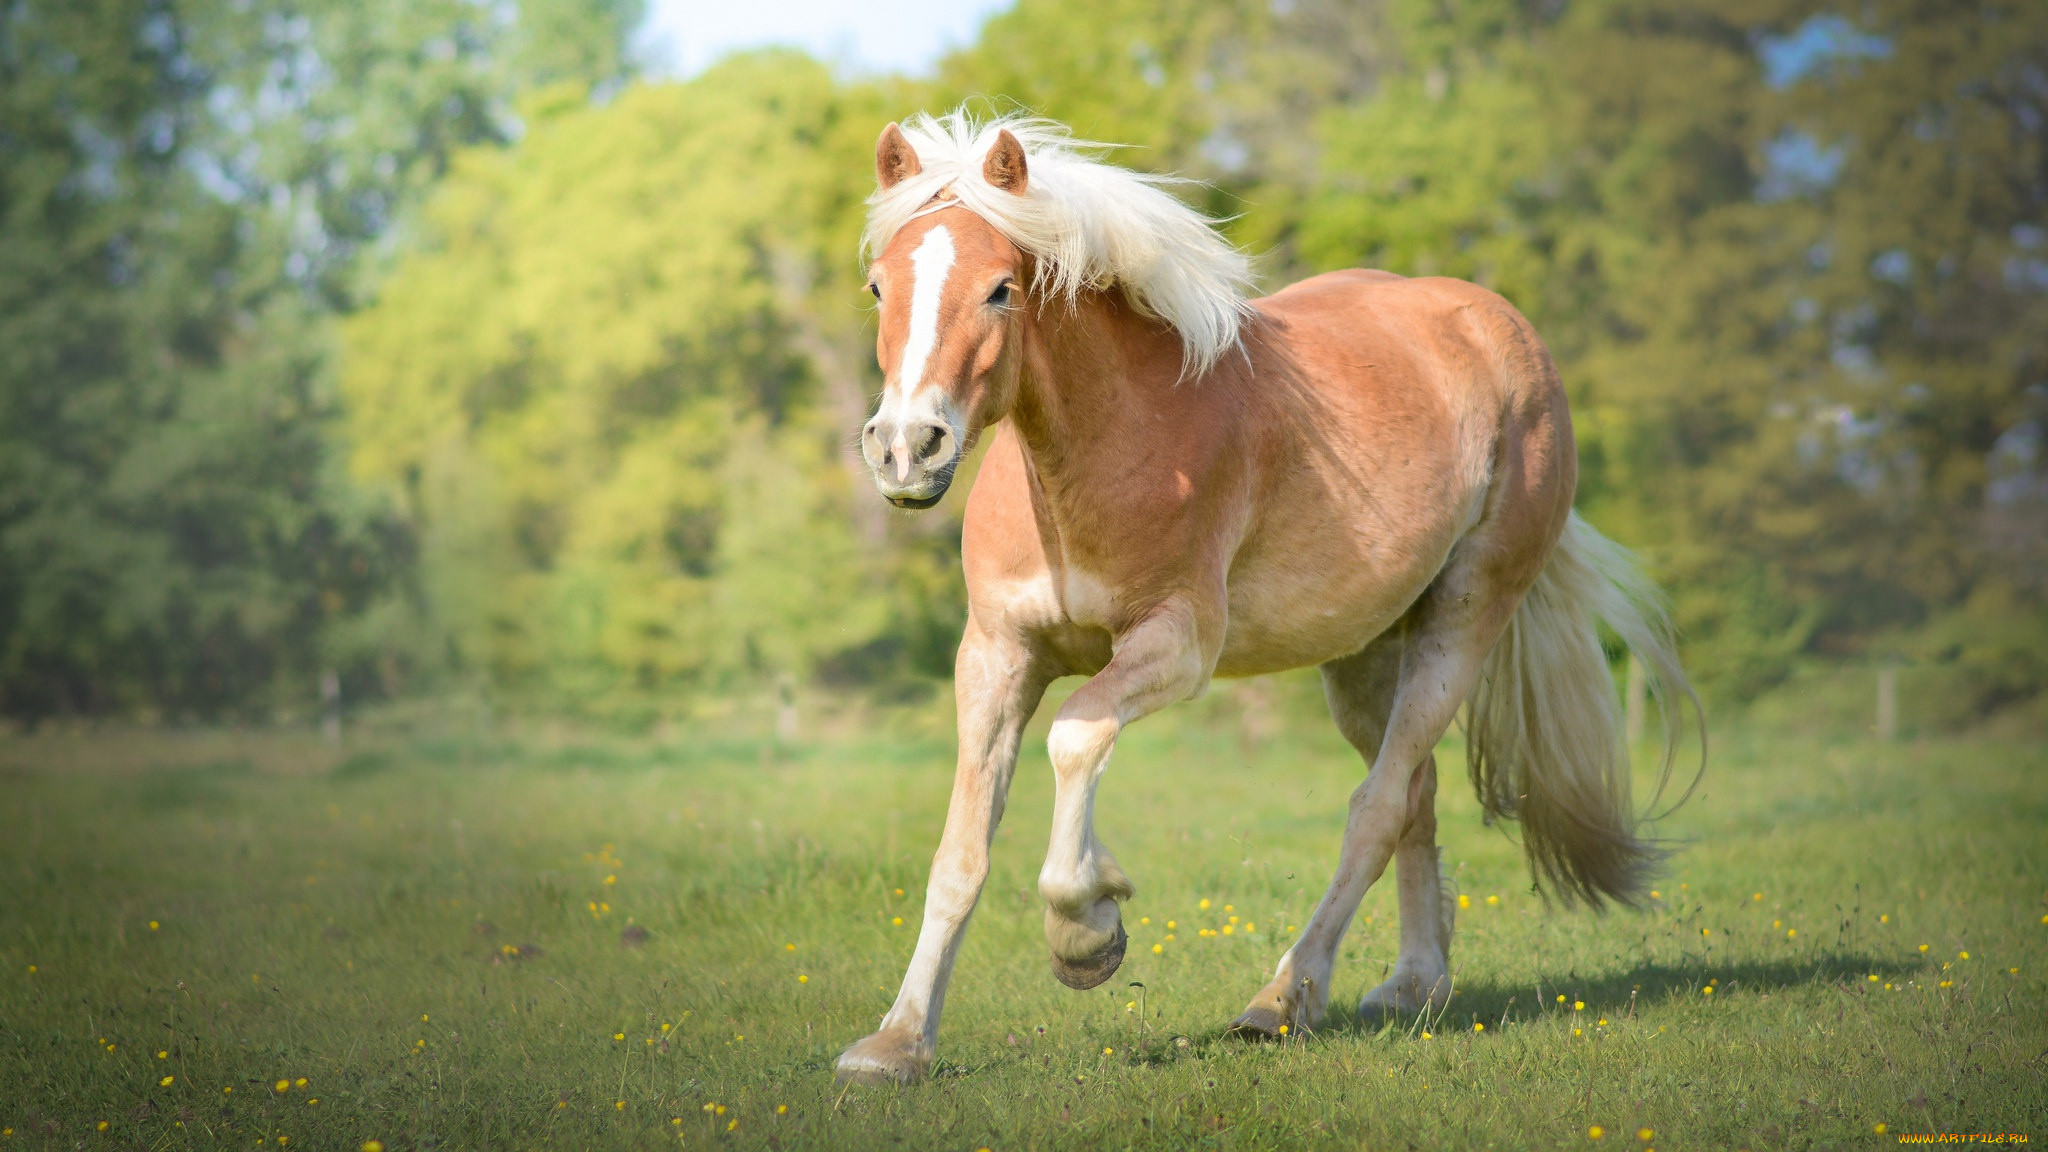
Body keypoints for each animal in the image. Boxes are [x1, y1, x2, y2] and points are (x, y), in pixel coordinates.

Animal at [831, 112, 1695, 1082]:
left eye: (1000, 289)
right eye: (878, 285)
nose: (907, 449)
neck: (1103, 448)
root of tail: (1502, 329)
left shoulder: (1177, 644)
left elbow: (1075, 737)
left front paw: (1089, 933)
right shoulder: (995, 655)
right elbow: (960, 852)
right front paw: (897, 1044)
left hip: (1465, 619)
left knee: (1377, 808)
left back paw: (1283, 999)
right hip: (1364, 654)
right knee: (1415, 792)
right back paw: (1413, 986)